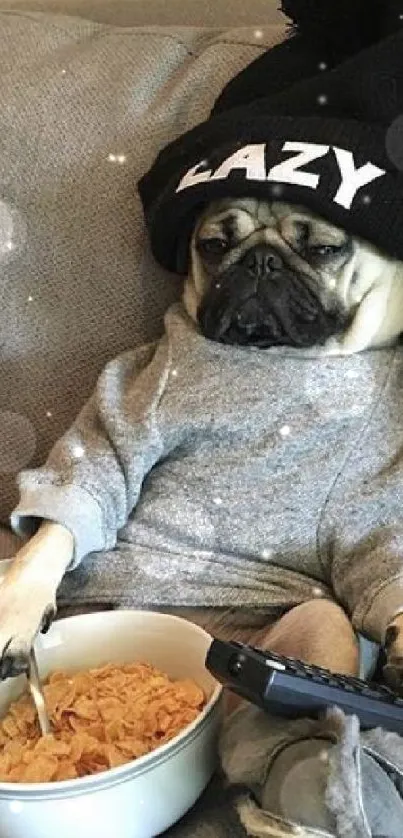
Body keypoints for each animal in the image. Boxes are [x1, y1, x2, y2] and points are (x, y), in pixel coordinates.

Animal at [0, 199, 403, 696]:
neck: (277, 355)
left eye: (324, 249)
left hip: (316, 626)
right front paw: (14, 610)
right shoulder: (131, 407)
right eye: (214, 245)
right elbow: (66, 517)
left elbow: (374, 552)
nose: (261, 260)